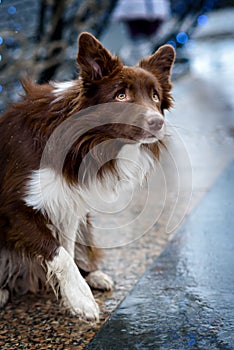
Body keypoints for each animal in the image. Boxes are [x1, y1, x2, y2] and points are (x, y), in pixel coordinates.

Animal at [0, 32, 175, 320]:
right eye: (121, 95)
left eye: (155, 96)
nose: (157, 123)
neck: (82, 141)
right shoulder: (12, 208)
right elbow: (57, 252)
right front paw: (81, 299)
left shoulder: (68, 202)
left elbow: (67, 249)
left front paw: (74, 294)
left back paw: (94, 276)